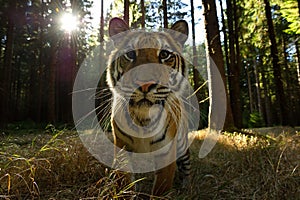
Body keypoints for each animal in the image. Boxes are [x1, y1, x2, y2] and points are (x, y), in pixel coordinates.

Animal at [106, 17, 193, 195]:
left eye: (164, 54)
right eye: (130, 54)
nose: (145, 83)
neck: (142, 120)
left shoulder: (166, 152)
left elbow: (161, 188)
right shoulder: (122, 147)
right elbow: (124, 182)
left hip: (182, 146)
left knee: (186, 167)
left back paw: (187, 187)